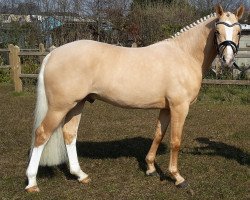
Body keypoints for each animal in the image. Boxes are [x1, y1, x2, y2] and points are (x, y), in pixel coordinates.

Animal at [25, 5, 244, 192]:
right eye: (217, 32)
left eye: (239, 32)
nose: (228, 61)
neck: (184, 54)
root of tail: (53, 54)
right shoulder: (179, 107)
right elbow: (175, 140)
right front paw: (177, 177)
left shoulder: (166, 108)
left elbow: (158, 134)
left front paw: (150, 168)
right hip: (59, 107)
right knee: (41, 134)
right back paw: (32, 182)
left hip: (76, 104)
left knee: (69, 134)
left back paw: (80, 175)